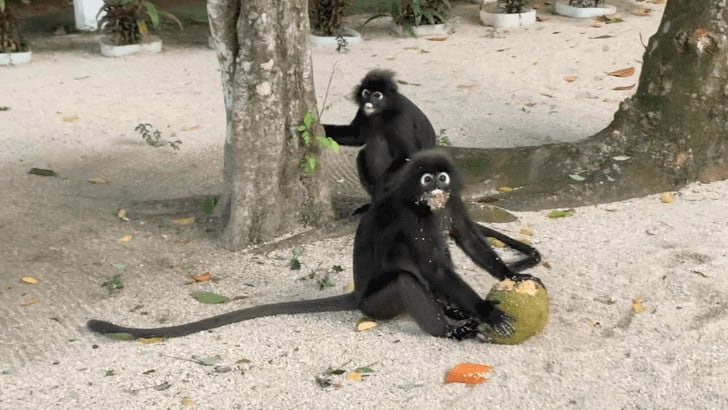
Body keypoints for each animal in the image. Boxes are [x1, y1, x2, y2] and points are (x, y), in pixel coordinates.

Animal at [86, 151, 539, 340]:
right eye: (426, 179)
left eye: (442, 178)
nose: (436, 188)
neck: (427, 203)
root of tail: (356, 297)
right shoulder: (412, 215)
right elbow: (434, 267)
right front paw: (486, 310)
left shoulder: (454, 201)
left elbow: (467, 239)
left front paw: (511, 275)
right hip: (376, 303)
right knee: (407, 281)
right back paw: (449, 329)